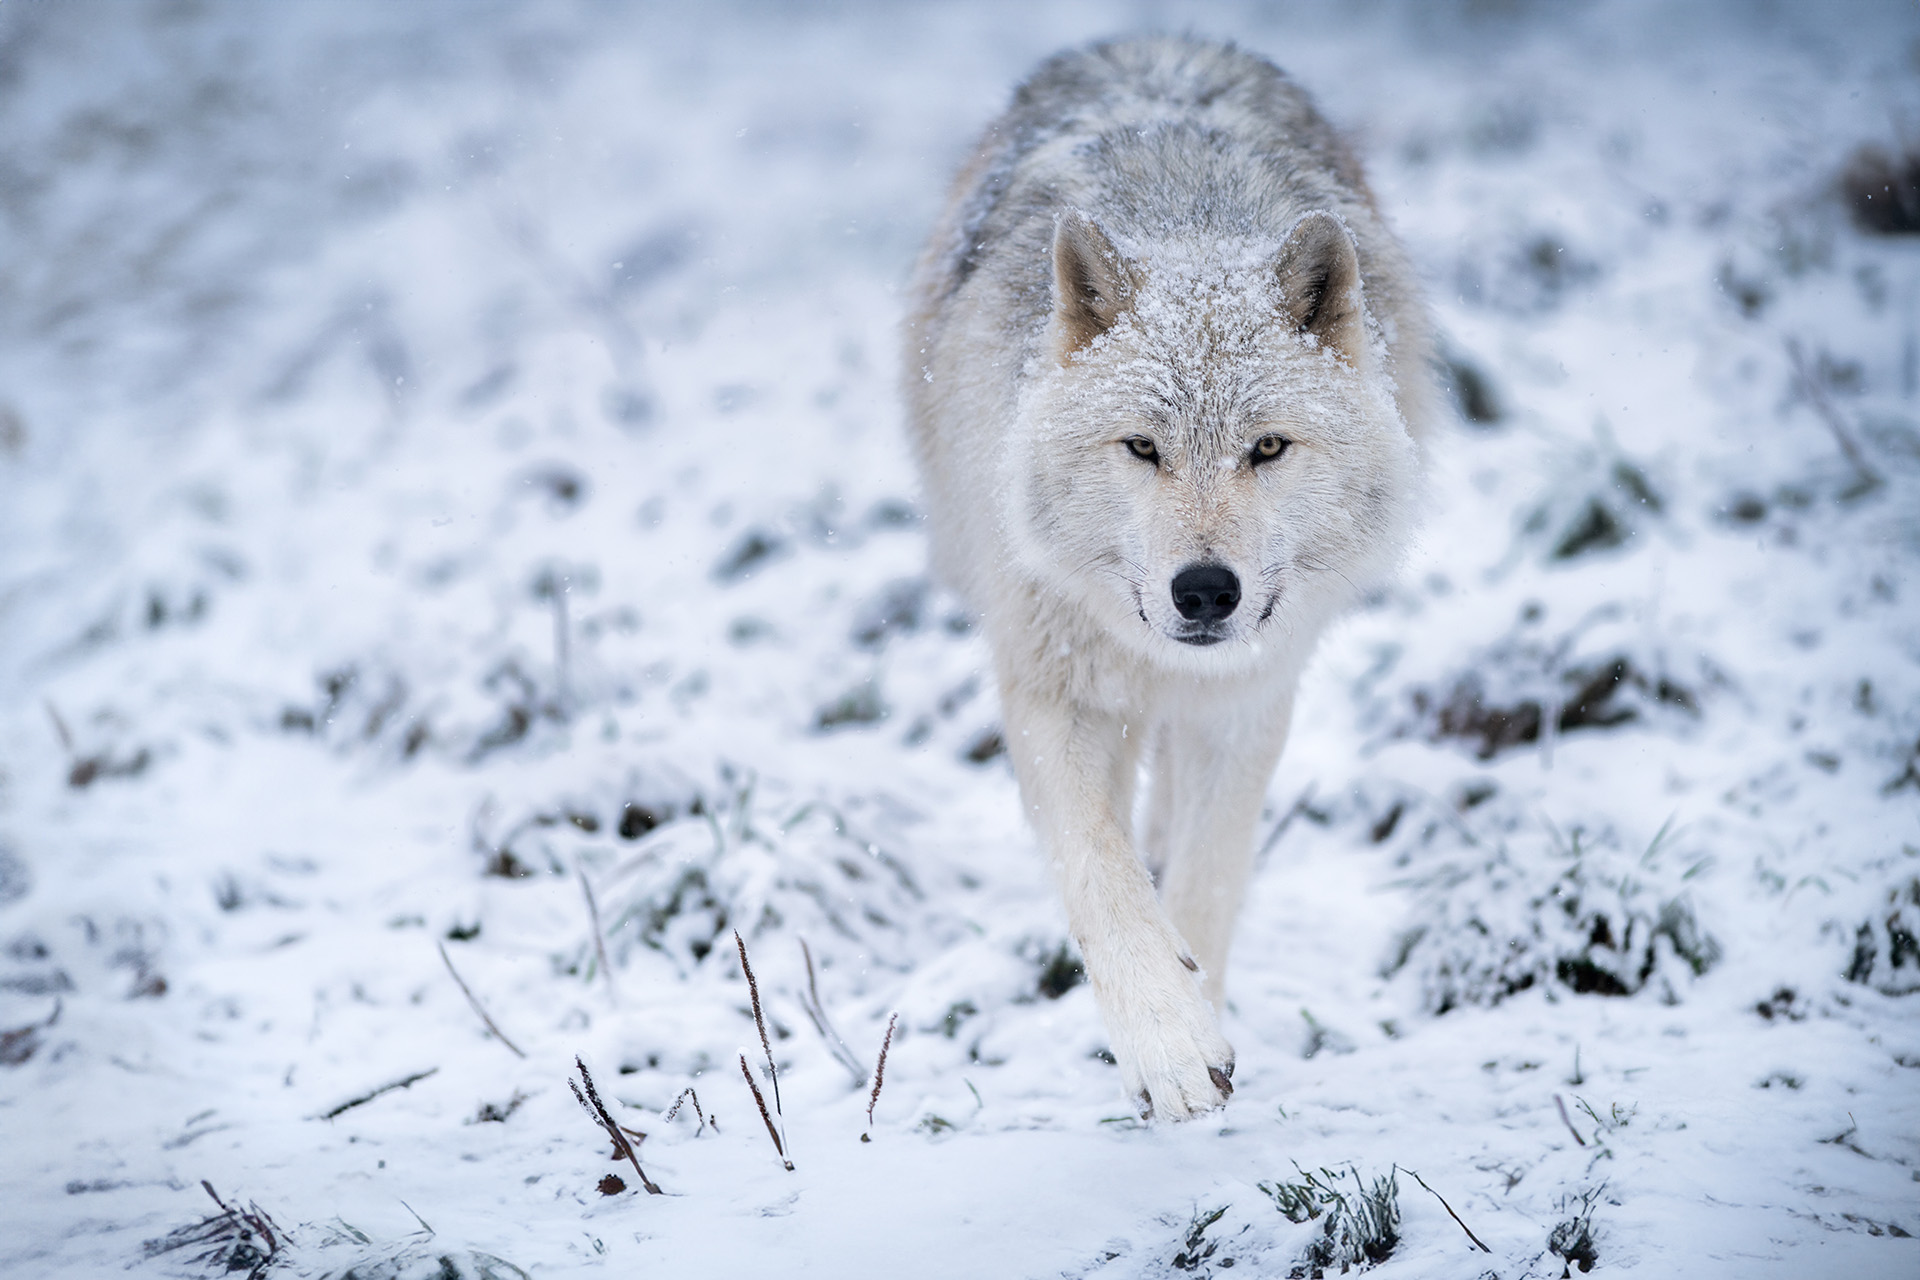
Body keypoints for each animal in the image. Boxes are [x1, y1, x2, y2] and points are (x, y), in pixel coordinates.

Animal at [906, 37, 1436, 1120]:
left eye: (1266, 447)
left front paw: (1204, 1018)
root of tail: (1157, 38)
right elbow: (1098, 873)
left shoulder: (1245, 701)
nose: (1203, 591)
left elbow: (1207, 878)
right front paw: (1168, 1042)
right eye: (1143, 448)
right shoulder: (1052, 691)